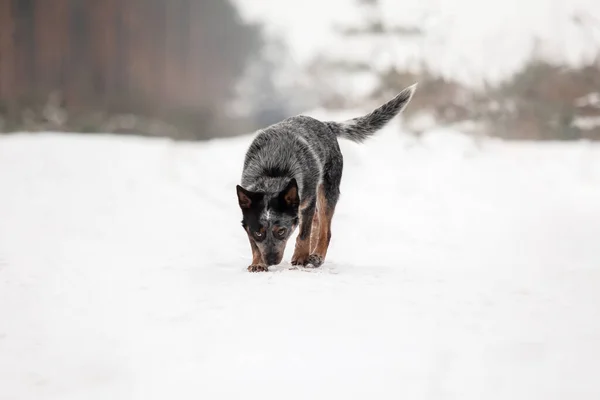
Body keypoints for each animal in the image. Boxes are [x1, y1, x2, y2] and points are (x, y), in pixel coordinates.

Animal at [236, 84, 418, 272]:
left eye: (282, 231)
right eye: (258, 232)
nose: (271, 260)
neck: (273, 172)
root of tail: (325, 124)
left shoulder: (308, 201)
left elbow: (304, 234)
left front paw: (300, 257)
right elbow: (255, 244)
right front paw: (257, 262)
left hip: (327, 193)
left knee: (325, 230)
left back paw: (316, 256)